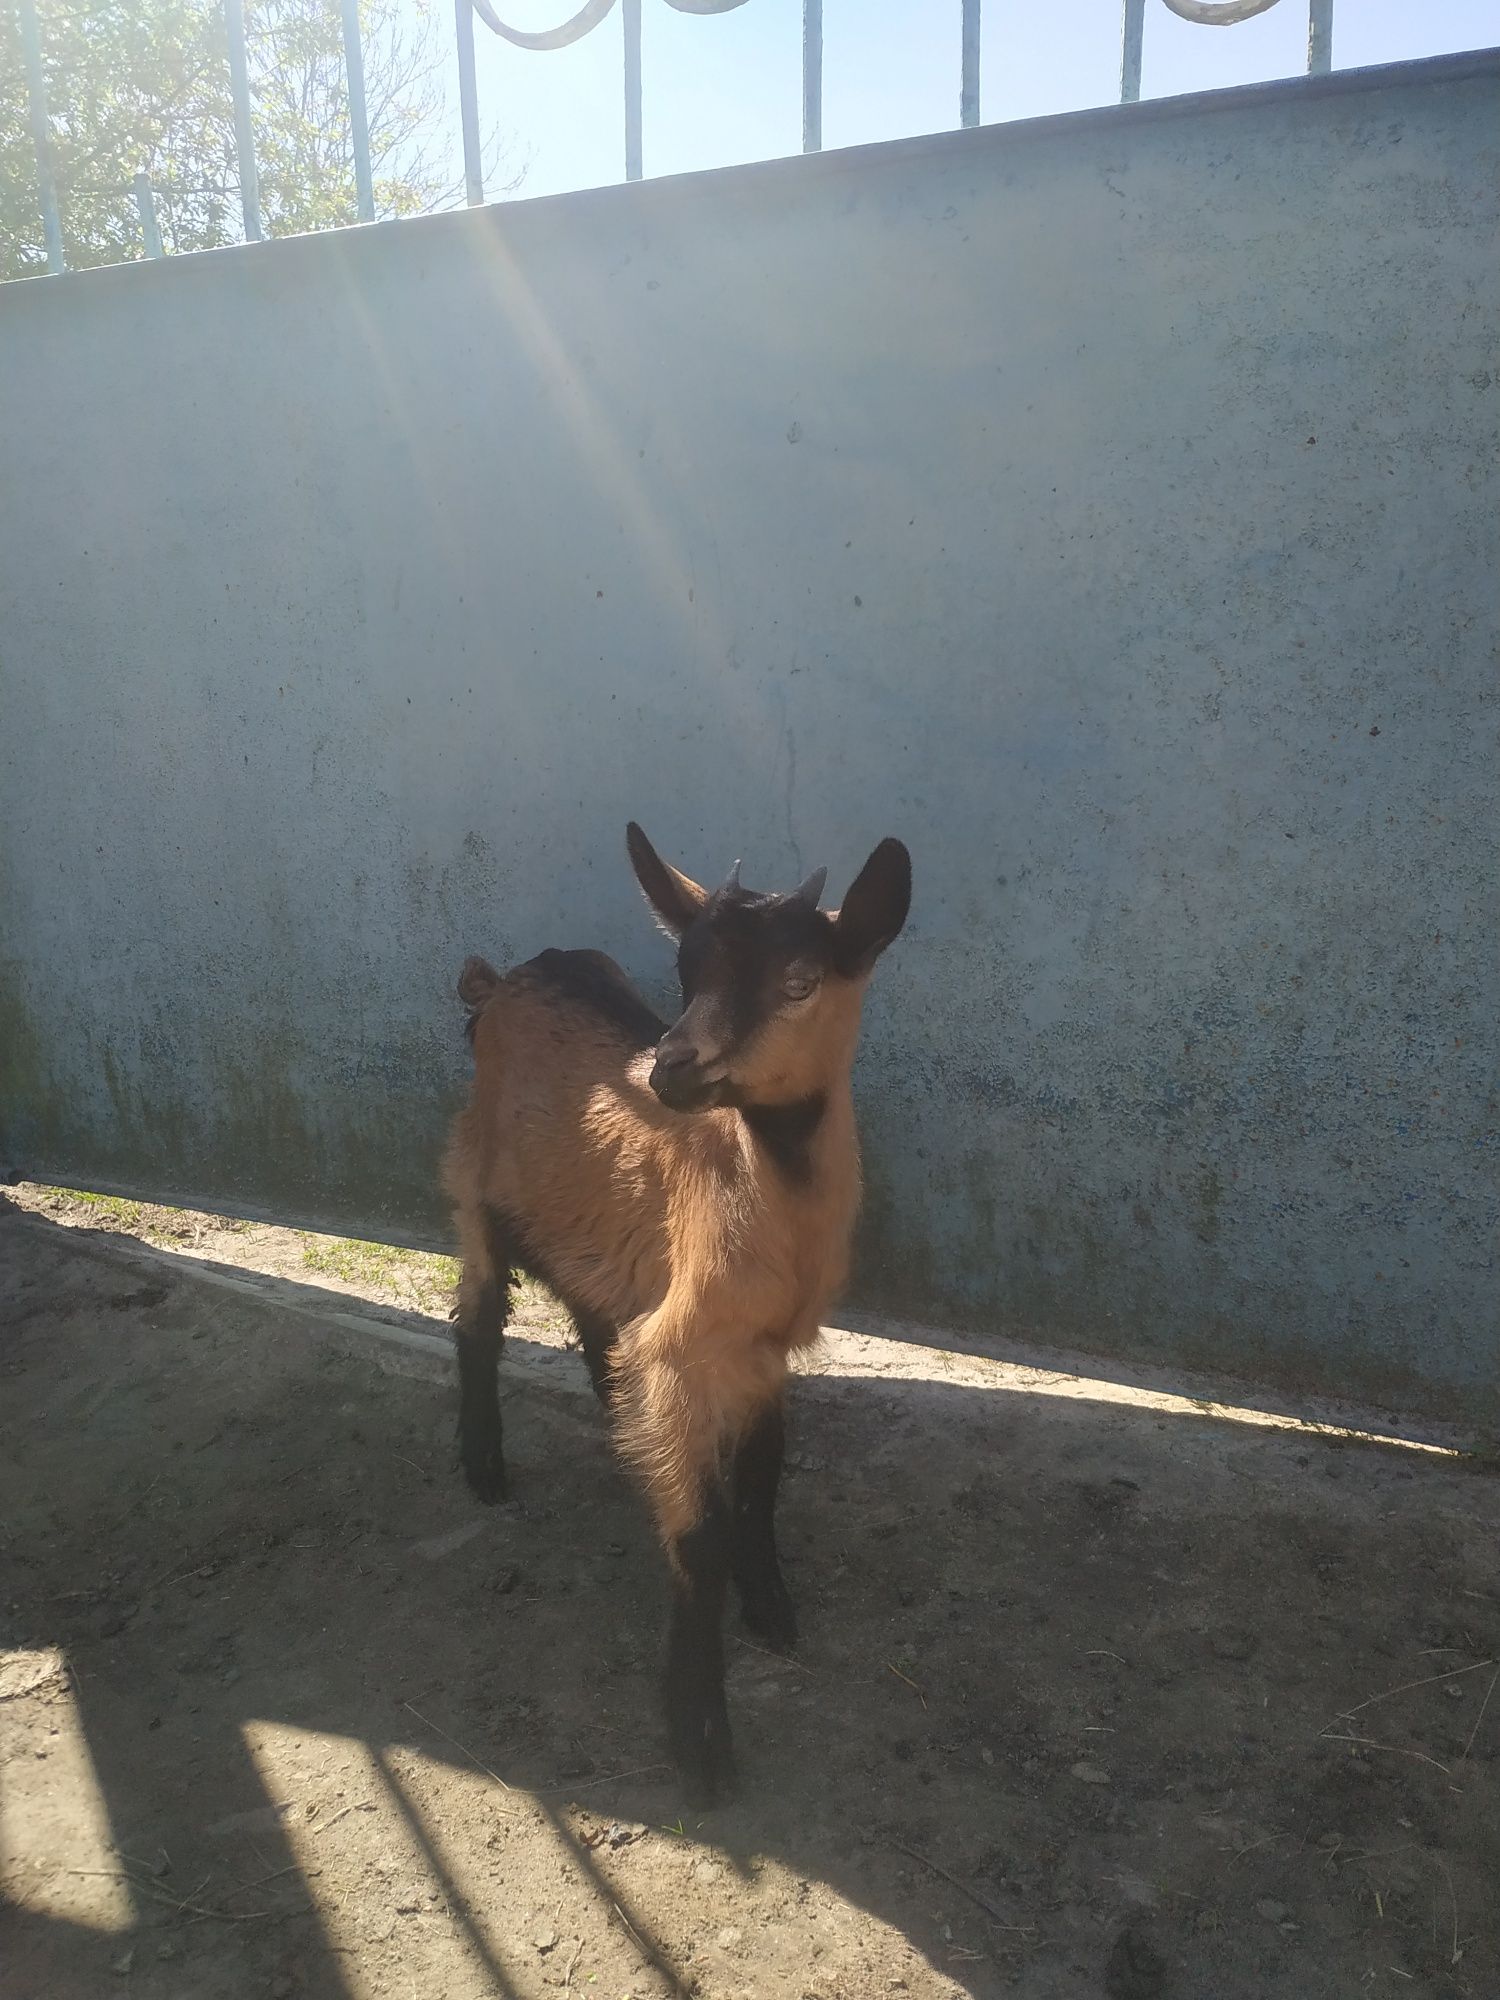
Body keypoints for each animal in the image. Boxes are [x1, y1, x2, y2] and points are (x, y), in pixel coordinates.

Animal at [444, 820, 916, 1808]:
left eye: (800, 980)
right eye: (685, 971)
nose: (669, 1066)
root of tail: (498, 981)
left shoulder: (768, 1346)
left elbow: (764, 1475)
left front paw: (771, 1606)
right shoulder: (684, 1349)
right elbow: (697, 1533)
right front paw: (702, 1743)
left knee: (589, 1317)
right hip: (473, 1184)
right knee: (477, 1316)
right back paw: (486, 1466)